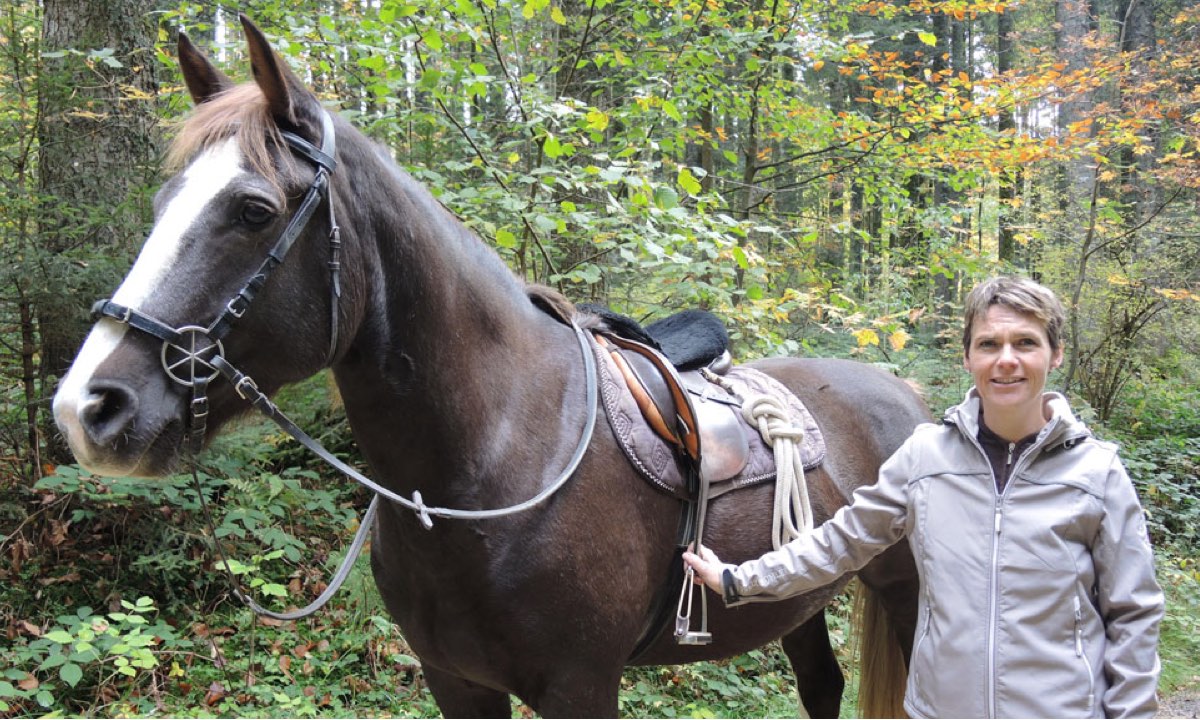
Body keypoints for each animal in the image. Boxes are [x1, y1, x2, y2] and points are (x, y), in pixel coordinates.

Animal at [54, 15, 926, 715]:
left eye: (253, 210)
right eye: (163, 204)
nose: (87, 407)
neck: (491, 458)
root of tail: (902, 391)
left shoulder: (580, 688)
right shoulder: (457, 682)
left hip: (907, 595)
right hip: (800, 599)